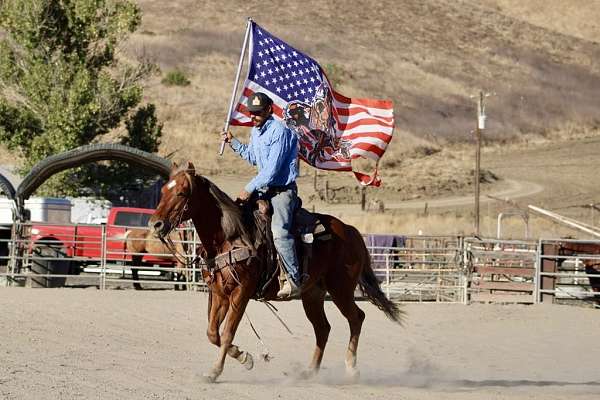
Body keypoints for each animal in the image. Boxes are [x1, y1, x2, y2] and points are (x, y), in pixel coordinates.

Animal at [149, 162, 404, 382]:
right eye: (163, 190)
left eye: (182, 193)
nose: (155, 224)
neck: (230, 237)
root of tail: (351, 231)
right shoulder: (219, 293)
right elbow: (213, 333)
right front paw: (244, 357)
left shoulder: (241, 293)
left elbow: (228, 332)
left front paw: (215, 371)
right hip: (313, 294)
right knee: (323, 328)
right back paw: (310, 371)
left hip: (341, 289)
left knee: (356, 318)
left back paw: (351, 368)